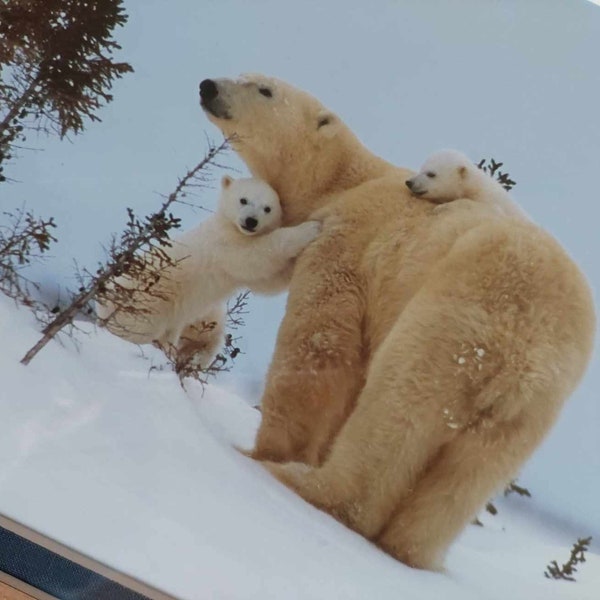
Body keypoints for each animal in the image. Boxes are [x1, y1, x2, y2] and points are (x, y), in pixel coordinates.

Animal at [98, 176, 322, 368]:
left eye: (267, 208)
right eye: (243, 199)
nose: (251, 221)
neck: (228, 225)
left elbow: (266, 282)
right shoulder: (223, 245)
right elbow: (256, 256)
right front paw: (311, 228)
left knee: (207, 333)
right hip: (145, 307)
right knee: (137, 333)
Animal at [198, 72, 596, 568]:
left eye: (265, 88)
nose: (208, 86)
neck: (350, 180)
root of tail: (535, 341)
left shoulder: (348, 241)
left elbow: (319, 345)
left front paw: (268, 450)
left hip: (455, 321)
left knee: (397, 405)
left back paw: (304, 482)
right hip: (534, 406)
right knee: (470, 472)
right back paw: (409, 548)